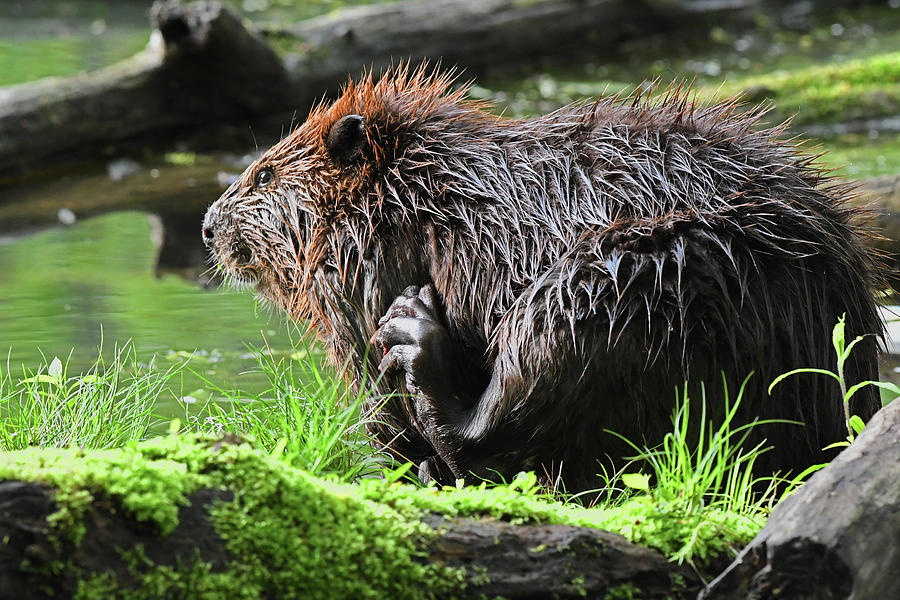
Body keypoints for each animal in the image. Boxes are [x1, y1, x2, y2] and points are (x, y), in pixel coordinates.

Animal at [202, 65, 880, 490]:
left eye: (263, 175)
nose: (208, 225)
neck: (434, 203)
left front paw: (396, 368)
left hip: (626, 275)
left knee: (506, 421)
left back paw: (415, 339)